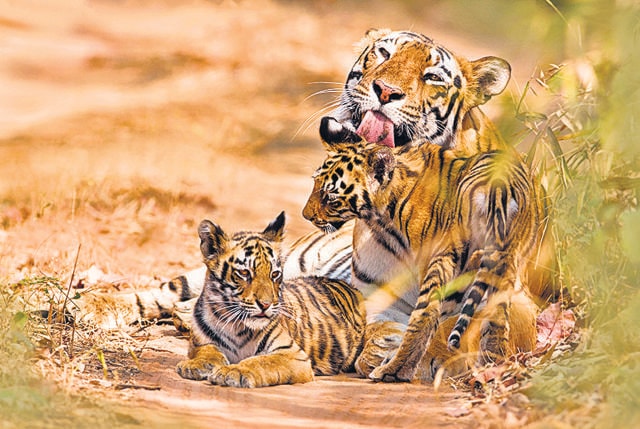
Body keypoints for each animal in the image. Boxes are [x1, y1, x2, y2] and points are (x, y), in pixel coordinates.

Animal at [175, 211, 366, 388]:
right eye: (244, 273)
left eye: (274, 274)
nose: (265, 305)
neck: (234, 326)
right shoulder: (200, 343)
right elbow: (208, 351)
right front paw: (194, 365)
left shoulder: (293, 355)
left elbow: (261, 361)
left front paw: (234, 371)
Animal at [302, 126, 544, 382]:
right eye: (315, 183)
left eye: (330, 197)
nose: (306, 215)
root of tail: (498, 189)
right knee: (495, 317)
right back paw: (492, 362)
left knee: (427, 317)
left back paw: (394, 370)